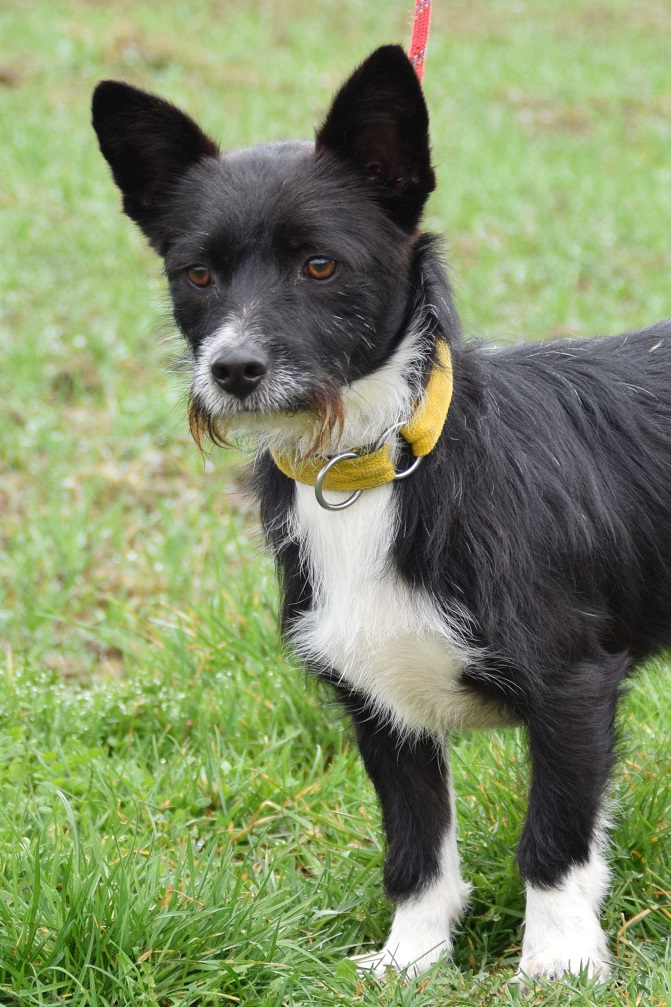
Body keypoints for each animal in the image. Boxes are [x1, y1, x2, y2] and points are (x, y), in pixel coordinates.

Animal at [92, 44, 671, 982]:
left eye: (320, 265)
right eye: (197, 274)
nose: (233, 370)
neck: (375, 464)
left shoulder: (571, 685)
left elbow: (553, 838)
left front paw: (555, 963)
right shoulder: (377, 704)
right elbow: (415, 843)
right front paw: (411, 956)